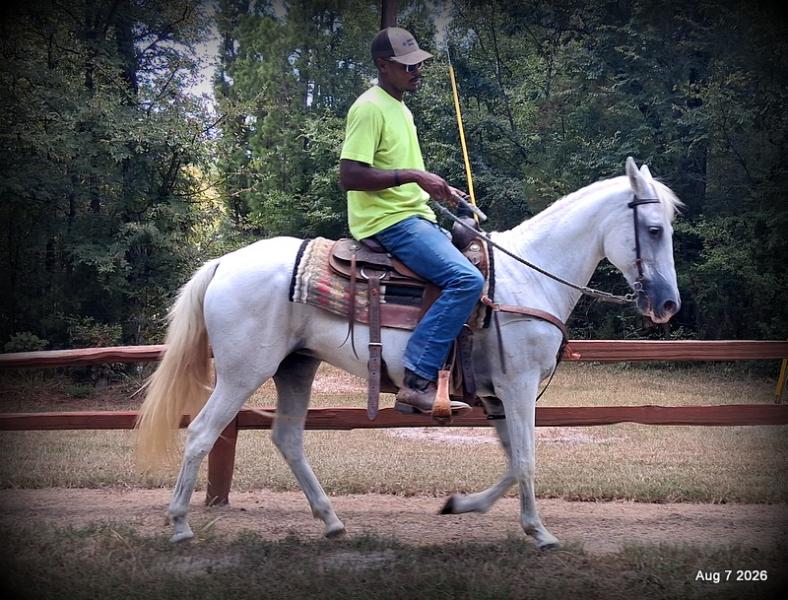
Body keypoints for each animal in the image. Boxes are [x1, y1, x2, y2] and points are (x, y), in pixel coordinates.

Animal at [135, 157, 682, 548]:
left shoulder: (497, 396)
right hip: (243, 372)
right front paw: (541, 533)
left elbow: (512, 461)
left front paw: (461, 506)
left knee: (287, 438)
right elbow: (526, 459)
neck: (527, 278)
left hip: (296, 367)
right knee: (202, 434)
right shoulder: (518, 384)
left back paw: (331, 522)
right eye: (654, 230)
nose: (667, 304)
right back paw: (180, 524)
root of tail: (223, 263)